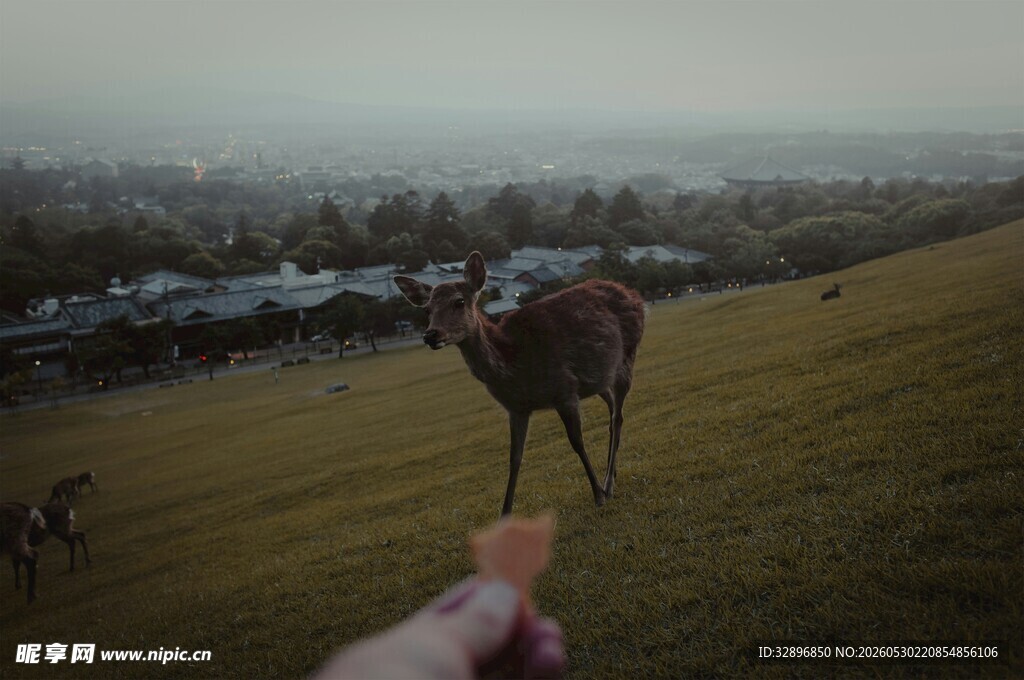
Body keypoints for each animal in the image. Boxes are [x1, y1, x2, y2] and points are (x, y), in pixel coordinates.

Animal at [395, 251, 645, 517]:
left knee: (618, 416)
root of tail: (633, 294)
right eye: (427, 309)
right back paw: (612, 475)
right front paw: (504, 514)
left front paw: (597, 494)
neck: (515, 365)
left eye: (459, 302)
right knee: (611, 409)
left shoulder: (564, 389)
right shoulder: (516, 408)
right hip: (598, 380)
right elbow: (514, 458)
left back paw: (608, 484)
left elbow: (576, 441)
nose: (430, 335)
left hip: (627, 356)